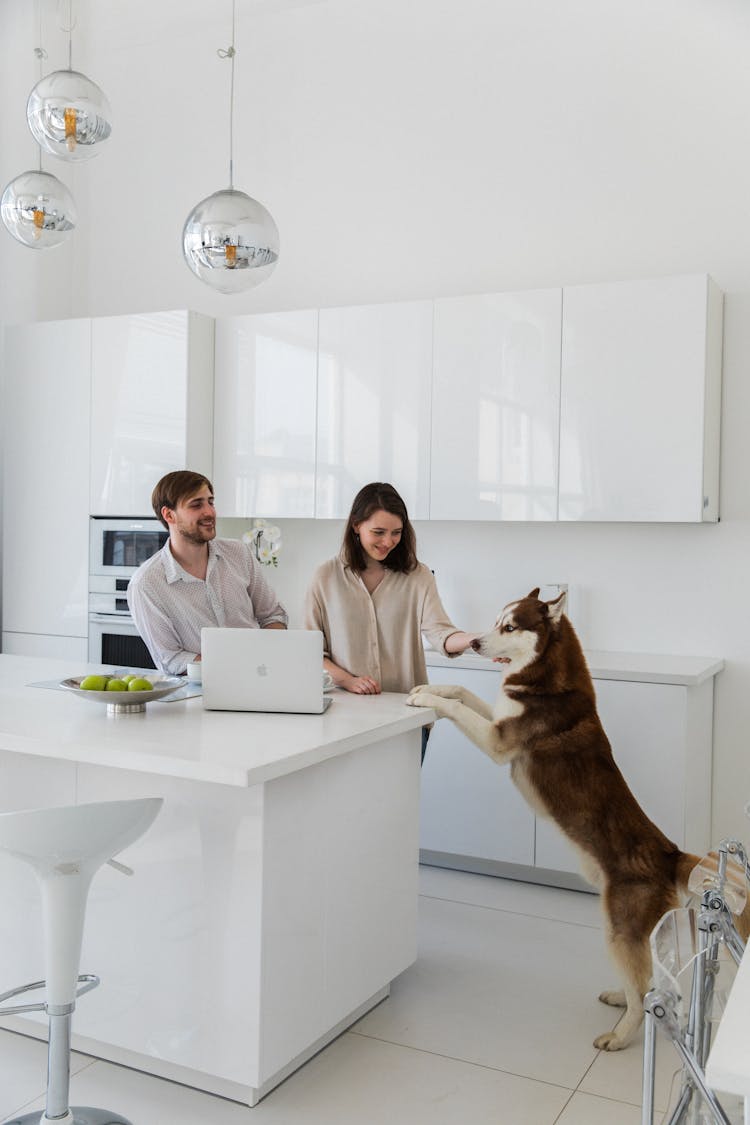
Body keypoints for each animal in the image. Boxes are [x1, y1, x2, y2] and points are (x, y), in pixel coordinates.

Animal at [411, 585, 750, 1048]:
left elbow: (461, 708)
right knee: (646, 983)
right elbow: (462, 690)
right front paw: (431, 684)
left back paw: (620, 1036)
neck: (545, 677)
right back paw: (618, 997)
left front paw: (424, 697)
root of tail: (670, 854)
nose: (475, 643)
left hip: (618, 929)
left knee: (645, 992)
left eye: (509, 626)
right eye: (496, 622)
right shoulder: (497, 719)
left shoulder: (498, 741)